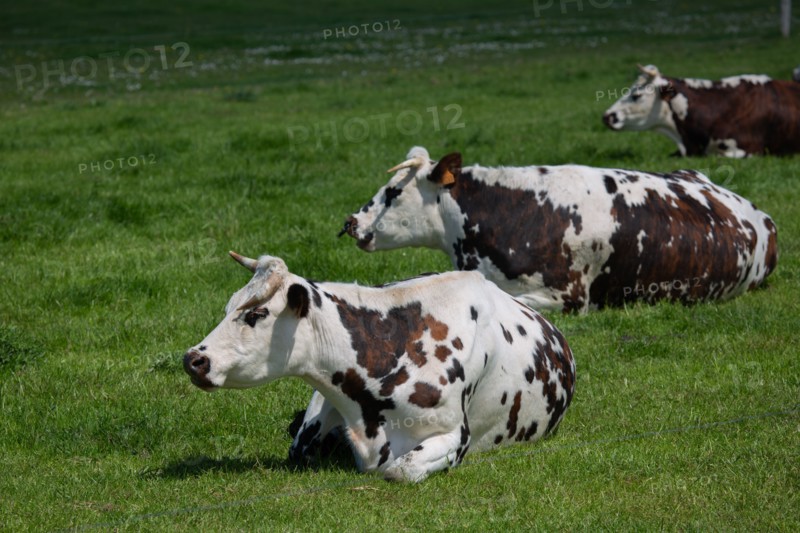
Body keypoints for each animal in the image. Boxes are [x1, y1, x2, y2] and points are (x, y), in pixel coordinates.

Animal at [183, 251, 575, 483]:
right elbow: (302, 448)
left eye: (256, 314)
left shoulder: (455, 436)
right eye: (229, 307)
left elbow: (401, 470)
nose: (193, 359)